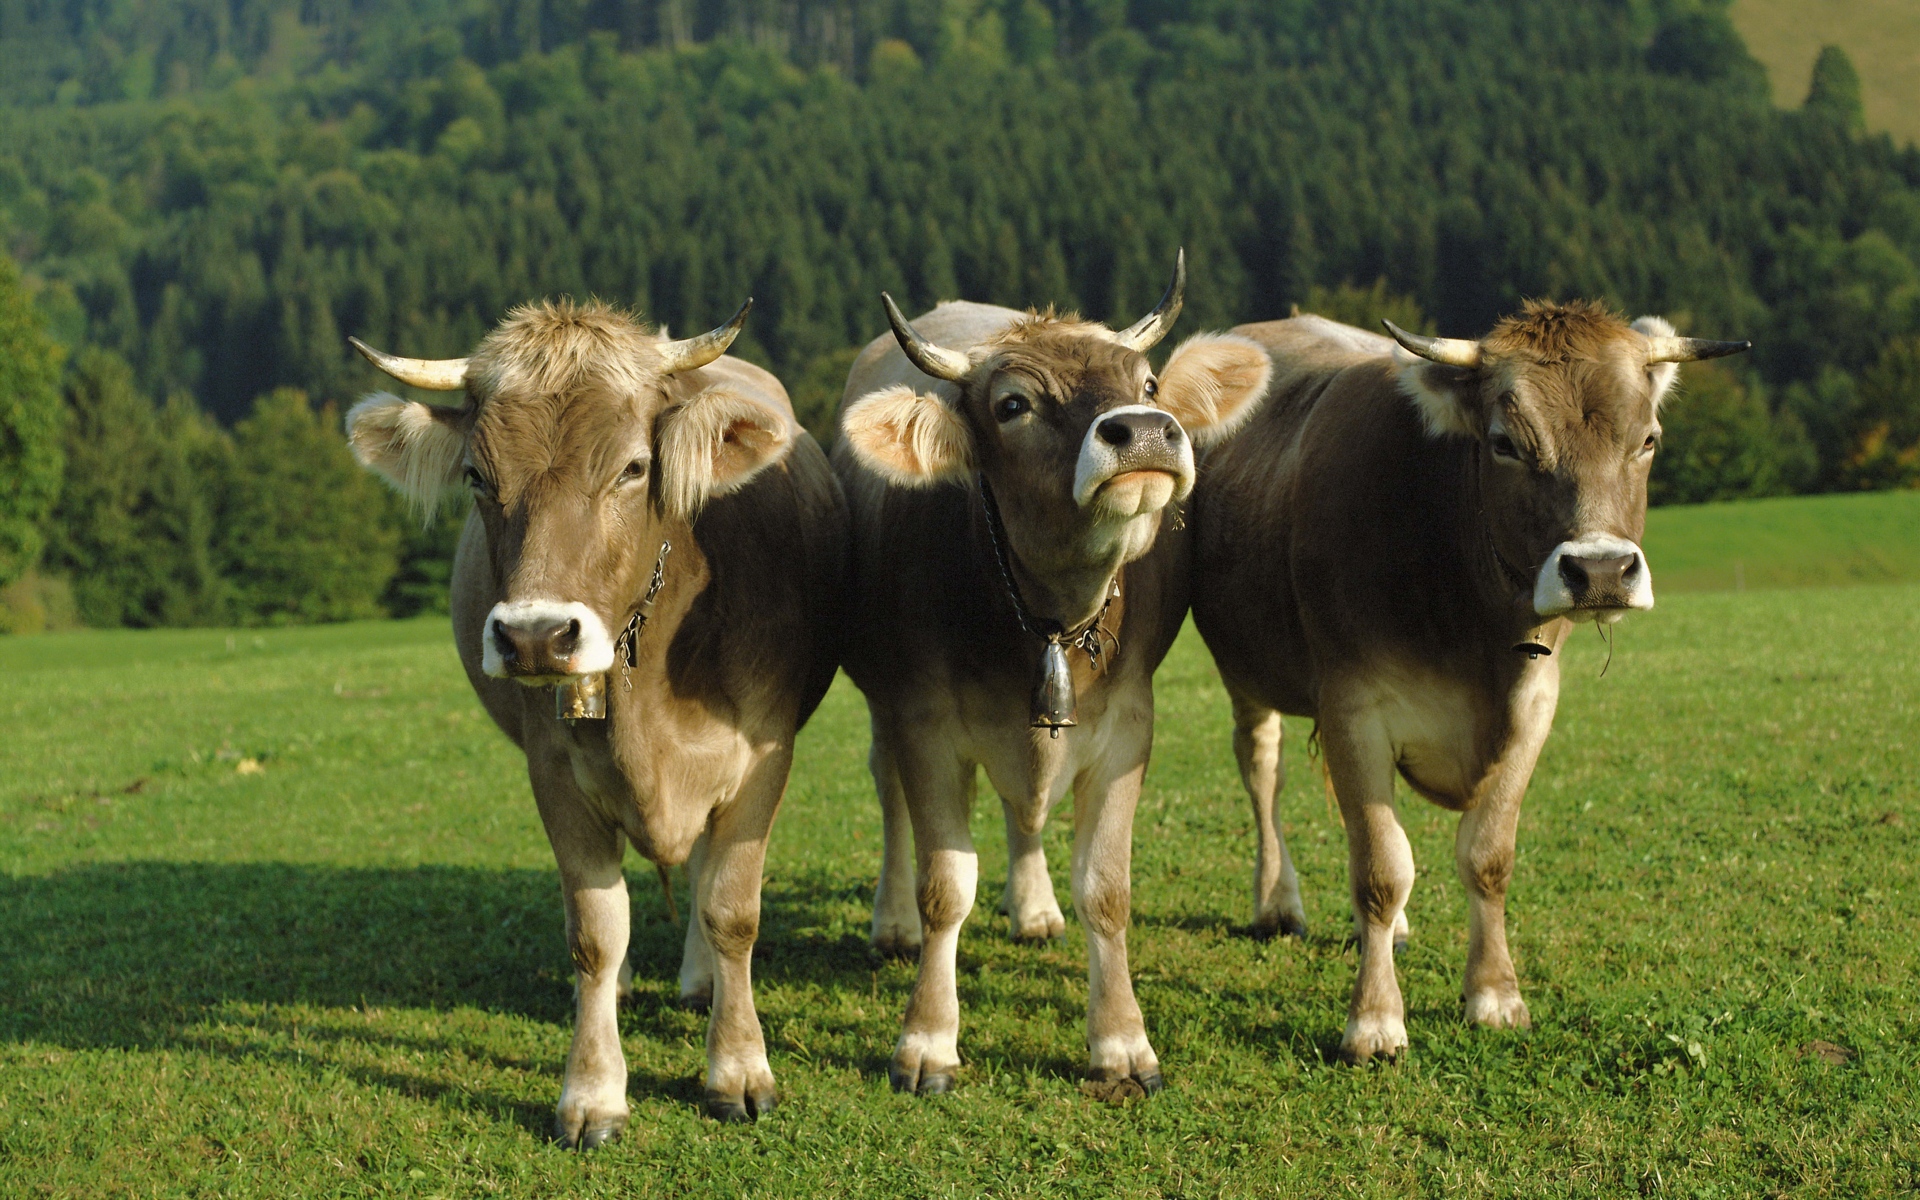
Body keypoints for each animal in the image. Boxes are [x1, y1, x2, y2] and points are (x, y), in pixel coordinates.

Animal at [343, 298, 848, 1141]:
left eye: (634, 468)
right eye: (477, 475)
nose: (535, 636)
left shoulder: (763, 758)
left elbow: (731, 911)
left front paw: (738, 1068)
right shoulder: (553, 773)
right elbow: (595, 931)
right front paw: (592, 1088)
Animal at [833, 256, 1274, 1094]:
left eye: (1149, 383)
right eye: (1013, 404)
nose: (1144, 433)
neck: (1044, 618)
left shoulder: (1128, 726)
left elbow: (1107, 890)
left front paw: (1122, 1042)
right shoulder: (924, 722)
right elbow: (945, 889)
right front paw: (927, 1039)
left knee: (1024, 811)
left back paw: (1034, 909)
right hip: (880, 707)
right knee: (886, 791)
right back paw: (891, 921)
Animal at [1189, 301, 1748, 1061]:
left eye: (1649, 440)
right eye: (1506, 444)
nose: (1600, 570)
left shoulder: (1535, 705)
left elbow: (1487, 857)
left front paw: (1495, 995)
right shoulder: (1354, 708)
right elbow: (1380, 868)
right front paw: (1374, 1021)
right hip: (1248, 673)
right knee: (1262, 771)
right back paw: (1278, 902)